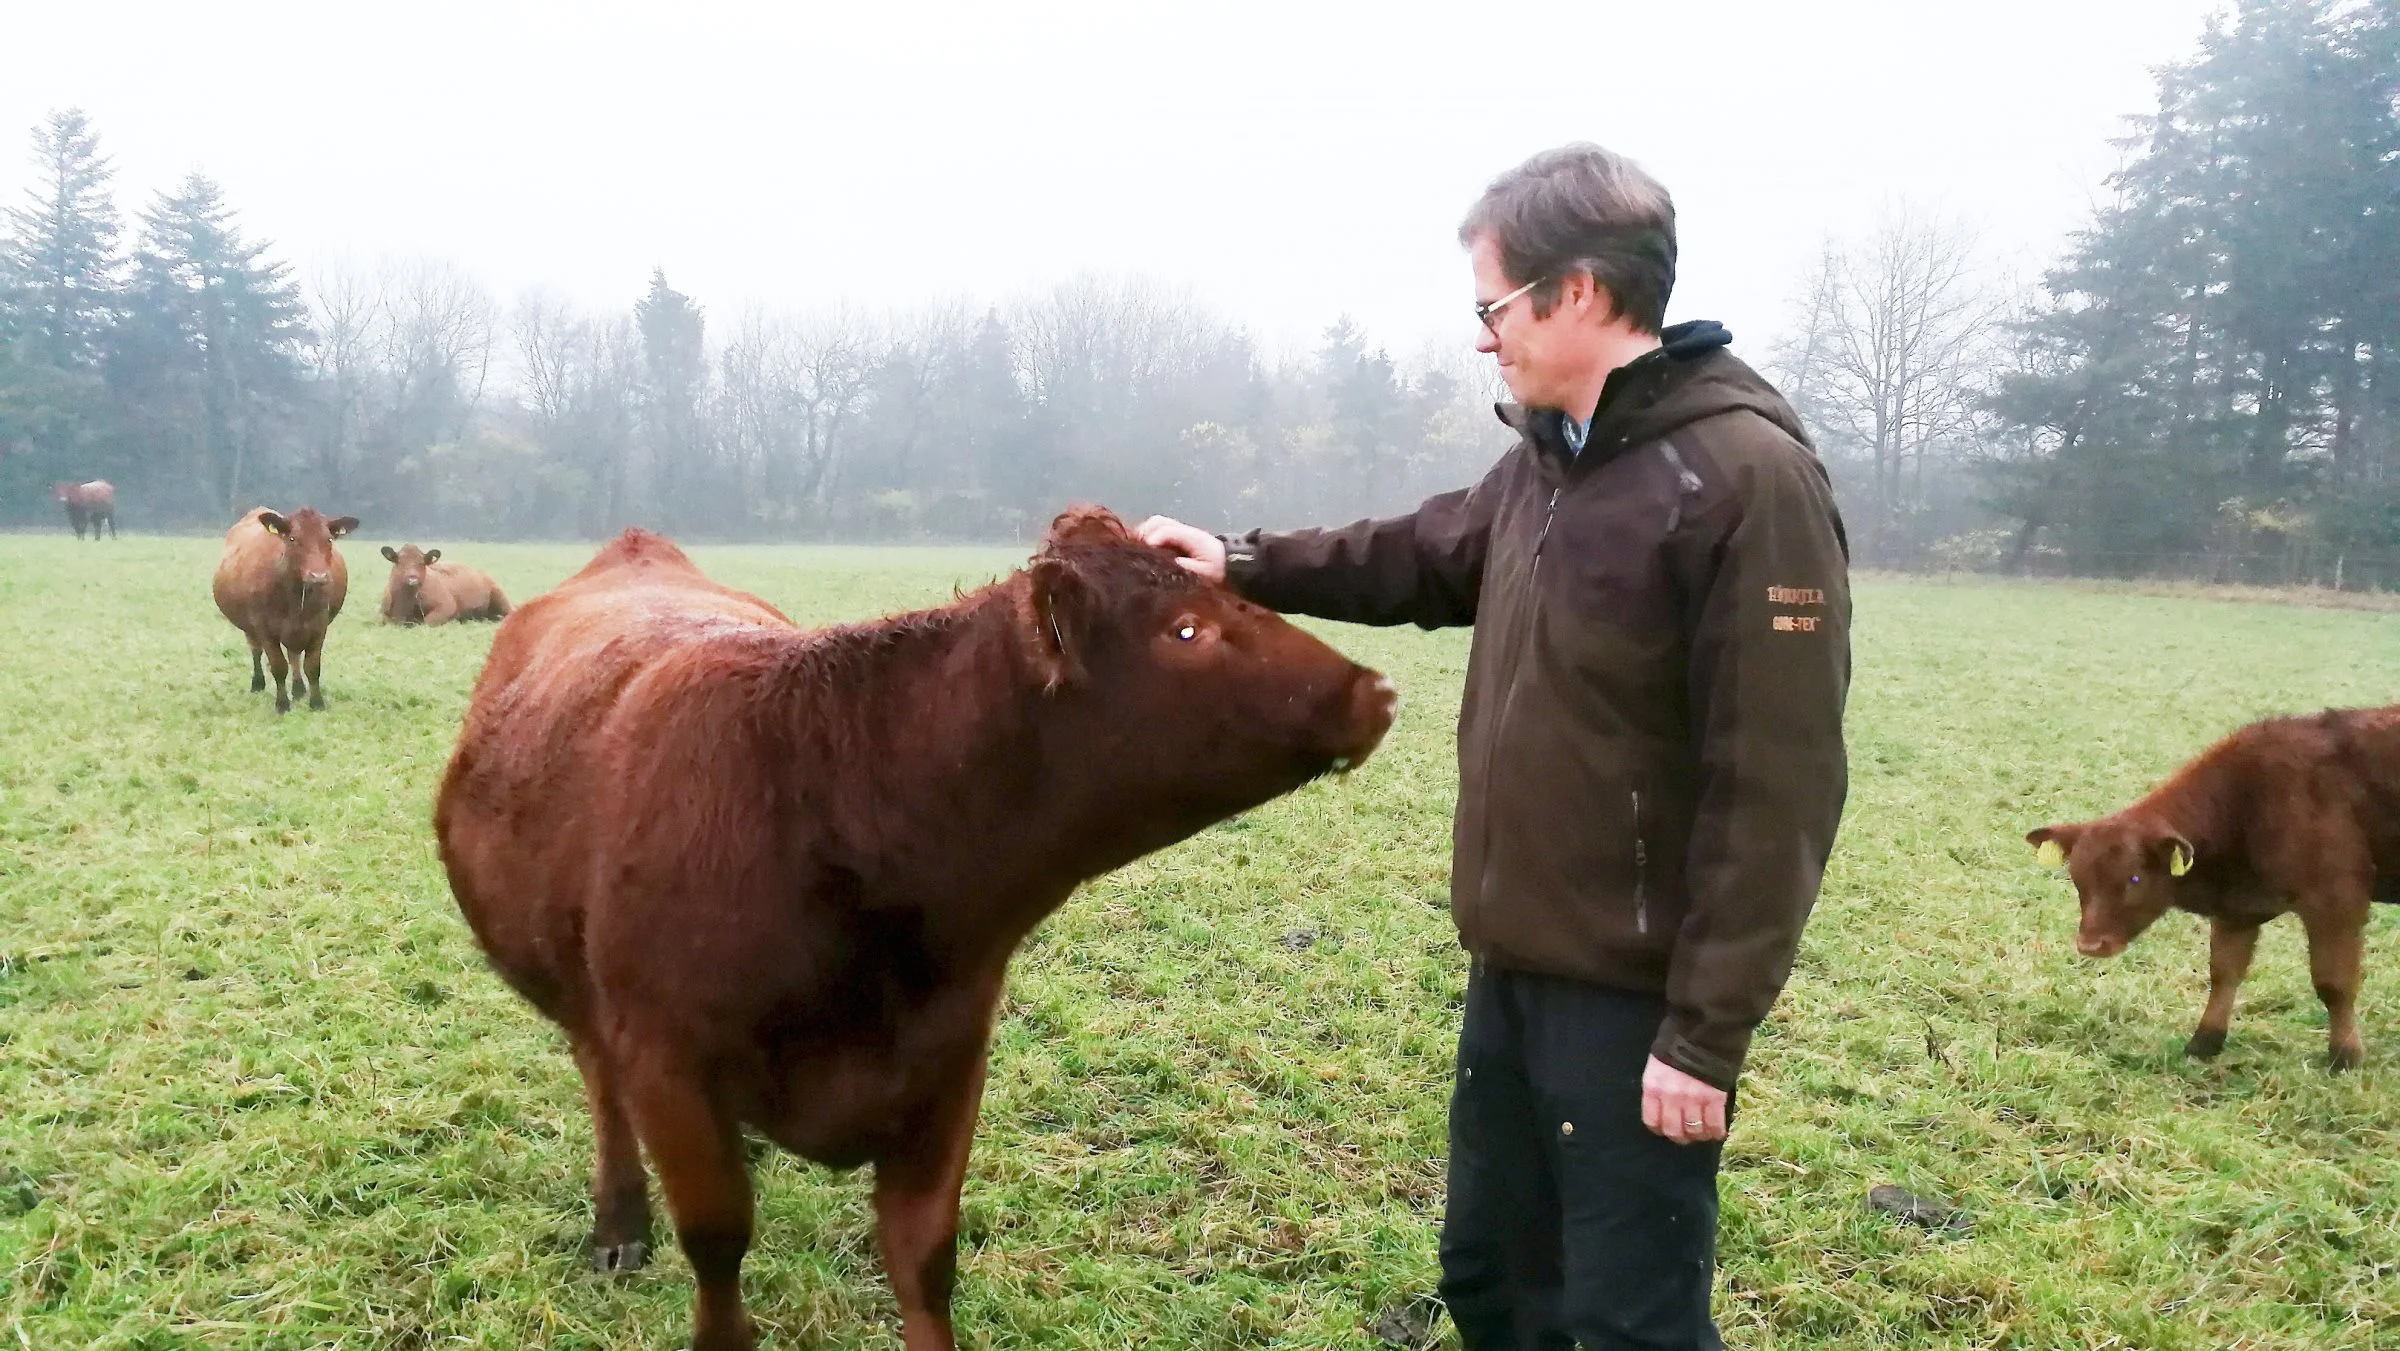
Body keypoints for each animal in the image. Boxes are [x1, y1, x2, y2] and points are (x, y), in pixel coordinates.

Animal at [213, 511, 357, 719]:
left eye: (329, 539)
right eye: (293, 538)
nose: (318, 576)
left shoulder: (319, 627)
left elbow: (312, 667)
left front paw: (317, 703)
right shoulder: (265, 629)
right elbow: (278, 667)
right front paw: (282, 705)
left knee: (293, 655)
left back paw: (298, 689)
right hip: (250, 628)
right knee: (256, 650)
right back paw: (258, 683)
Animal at [374, 544, 511, 628]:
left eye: (421, 563)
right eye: (399, 561)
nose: (412, 578)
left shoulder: (446, 606)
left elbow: (427, 622)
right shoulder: (383, 615)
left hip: (501, 598)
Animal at [441, 508, 1401, 1351]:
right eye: (1187, 631)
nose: (1378, 687)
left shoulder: (948, 1063)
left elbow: (923, 1254)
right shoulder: (665, 1060)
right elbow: (717, 1242)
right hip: (579, 995)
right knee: (601, 1085)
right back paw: (619, 1221)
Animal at [2025, 710, 2400, 1070]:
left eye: (2134, 879)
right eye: (2077, 879)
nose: (2091, 945)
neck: (2251, 797)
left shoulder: (2336, 901)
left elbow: (2334, 983)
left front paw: (2345, 1056)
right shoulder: (2237, 911)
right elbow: (2224, 973)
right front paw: (2204, 1042)